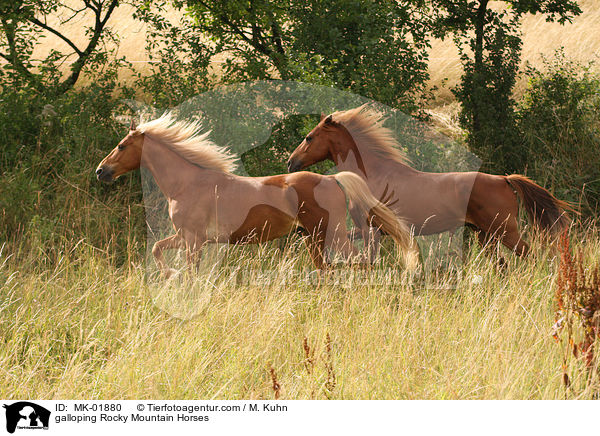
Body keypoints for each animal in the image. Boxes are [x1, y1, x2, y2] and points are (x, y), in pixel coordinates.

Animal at [97, 112, 418, 276]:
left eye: (122, 145)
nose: (101, 171)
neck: (185, 185)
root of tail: (332, 179)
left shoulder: (193, 239)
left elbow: (188, 270)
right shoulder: (185, 237)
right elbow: (157, 248)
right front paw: (168, 274)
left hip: (331, 233)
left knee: (357, 260)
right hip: (312, 237)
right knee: (330, 266)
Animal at [286, 105, 572, 255]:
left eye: (309, 137)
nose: (291, 162)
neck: (371, 176)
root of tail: (504, 180)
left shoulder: (371, 230)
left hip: (505, 231)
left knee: (529, 256)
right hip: (485, 234)